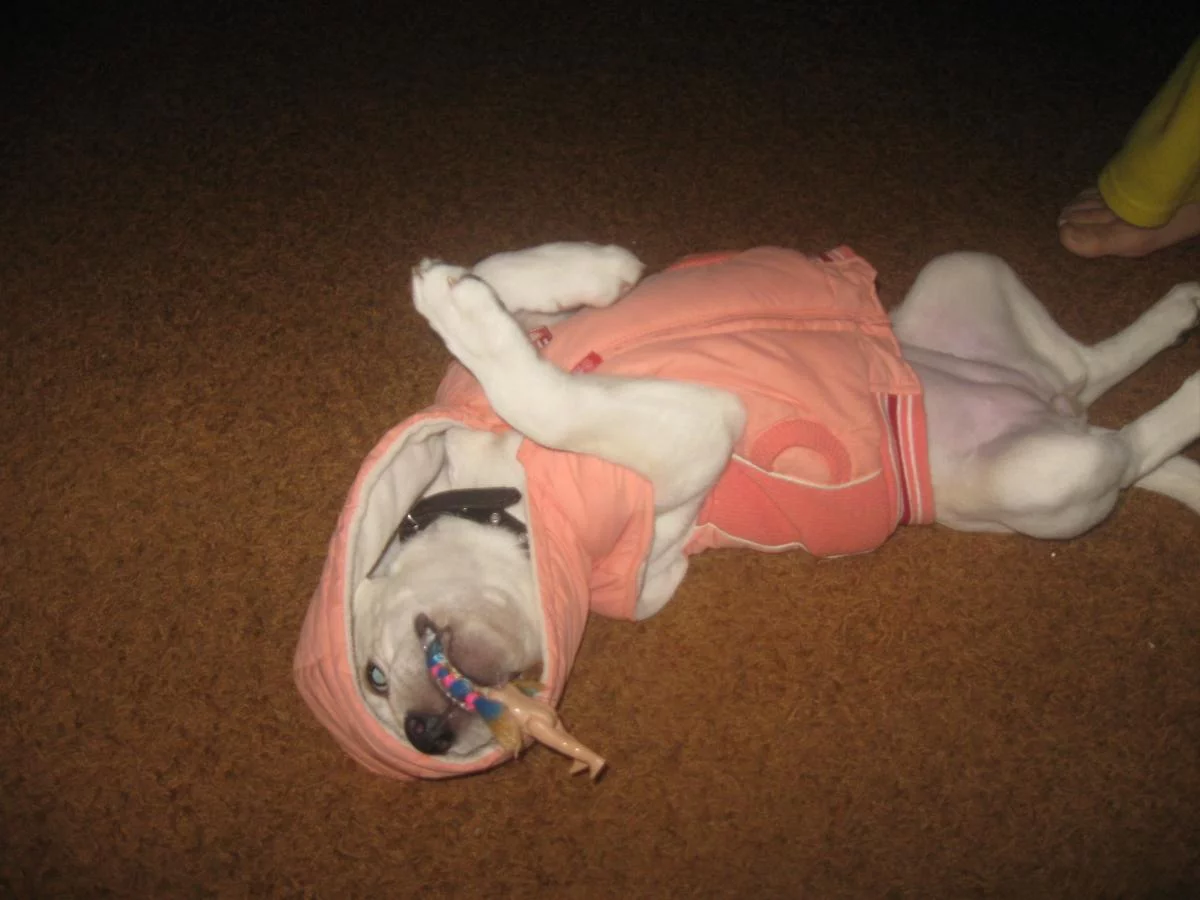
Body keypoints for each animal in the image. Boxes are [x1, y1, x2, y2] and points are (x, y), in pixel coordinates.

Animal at [344, 241, 1200, 770]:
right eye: (375, 685)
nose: (424, 736)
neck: (512, 503)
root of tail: (1053, 405)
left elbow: (509, 301)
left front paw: (564, 274)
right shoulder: (691, 440)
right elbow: (548, 397)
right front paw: (472, 307)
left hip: (964, 275)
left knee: (1089, 370)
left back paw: (1180, 315)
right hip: (1045, 472)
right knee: (1121, 436)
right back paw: (1186, 381)